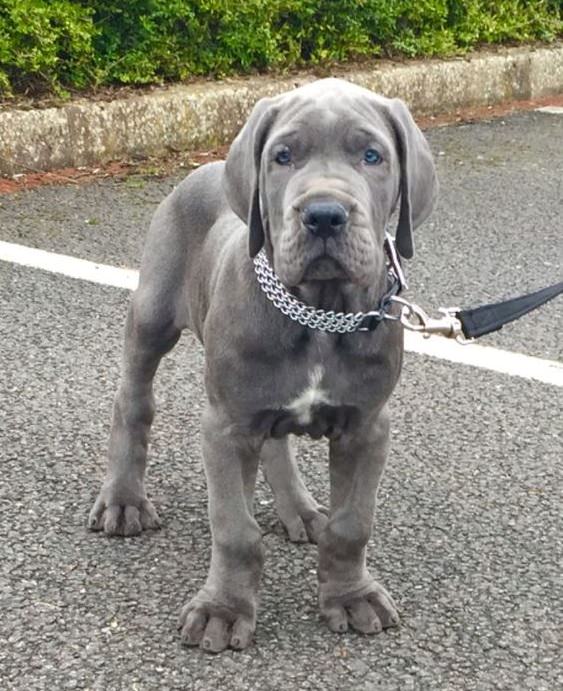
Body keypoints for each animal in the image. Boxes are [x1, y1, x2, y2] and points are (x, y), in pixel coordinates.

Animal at [89, 78, 440, 652]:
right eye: (283, 156)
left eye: (372, 156)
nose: (324, 214)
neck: (320, 312)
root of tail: (206, 167)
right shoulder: (226, 427)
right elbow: (235, 530)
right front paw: (224, 611)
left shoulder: (368, 428)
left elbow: (352, 524)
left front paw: (351, 597)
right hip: (152, 316)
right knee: (133, 401)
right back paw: (123, 500)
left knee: (276, 442)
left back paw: (298, 509)